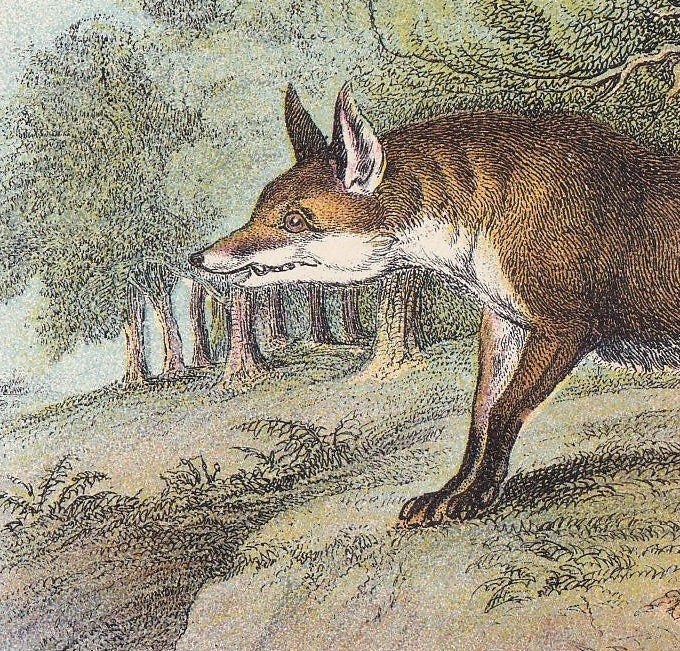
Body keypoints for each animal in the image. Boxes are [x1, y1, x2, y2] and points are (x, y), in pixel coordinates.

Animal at [190, 83, 680, 528]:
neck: (490, 217)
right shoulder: (503, 322)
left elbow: (504, 411)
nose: (198, 258)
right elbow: (480, 415)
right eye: (257, 211)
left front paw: (475, 498)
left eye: (293, 220)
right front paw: (449, 494)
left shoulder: (566, 328)